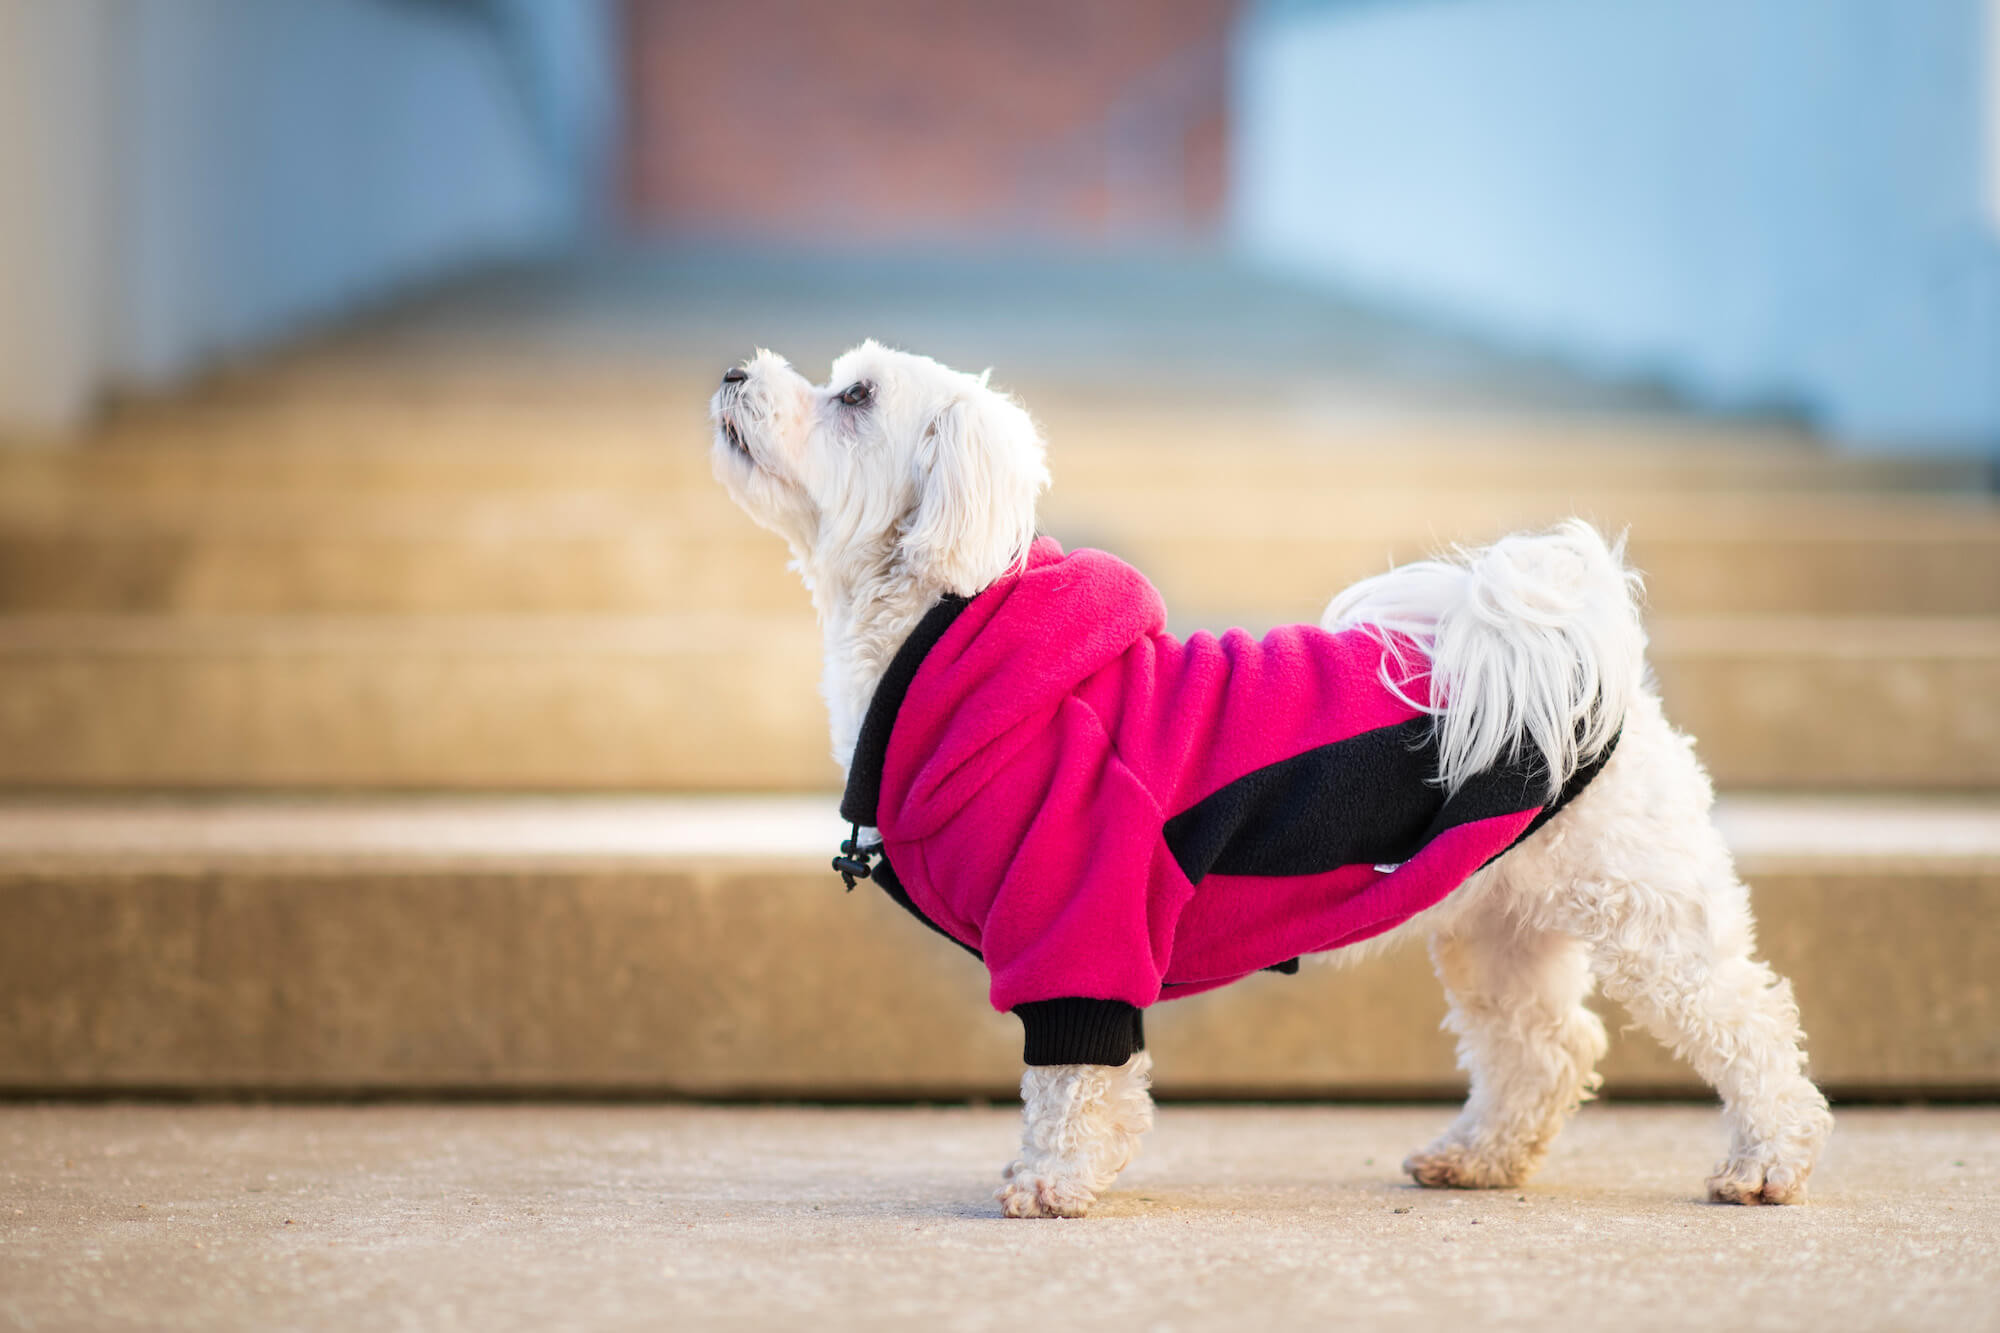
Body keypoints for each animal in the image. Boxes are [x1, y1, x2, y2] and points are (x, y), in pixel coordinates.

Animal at [712, 340, 1832, 1216]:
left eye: (856, 396)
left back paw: (1767, 1163)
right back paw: (1477, 1157)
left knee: (1749, 1023)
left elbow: (1071, 1078)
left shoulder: (1077, 919)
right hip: (1497, 922)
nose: (733, 371)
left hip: (1646, 907)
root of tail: (1581, 659)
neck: (950, 624)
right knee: (1546, 1046)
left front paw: (1053, 1180)